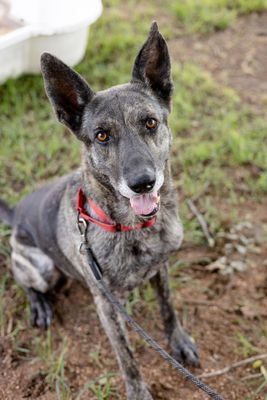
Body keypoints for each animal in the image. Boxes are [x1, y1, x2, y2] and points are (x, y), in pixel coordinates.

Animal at [0, 22, 199, 400]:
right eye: (102, 135)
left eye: (151, 123)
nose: (143, 183)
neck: (134, 227)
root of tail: (16, 212)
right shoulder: (106, 306)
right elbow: (126, 354)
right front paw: (137, 391)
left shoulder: (162, 266)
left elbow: (168, 306)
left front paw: (178, 339)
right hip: (40, 267)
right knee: (25, 279)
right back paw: (40, 304)